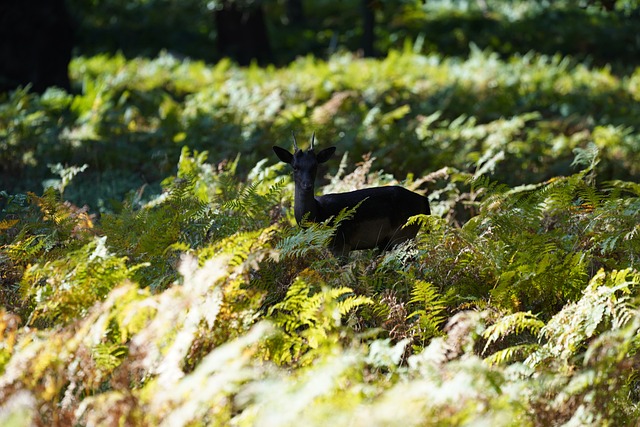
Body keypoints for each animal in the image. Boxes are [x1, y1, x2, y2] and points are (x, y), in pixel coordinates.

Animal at [273, 133, 430, 256]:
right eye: (295, 167)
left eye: (315, 165)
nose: (307, 185)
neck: (318, 215)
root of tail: (425, 201)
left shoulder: (341, 243)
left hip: (403, 233)